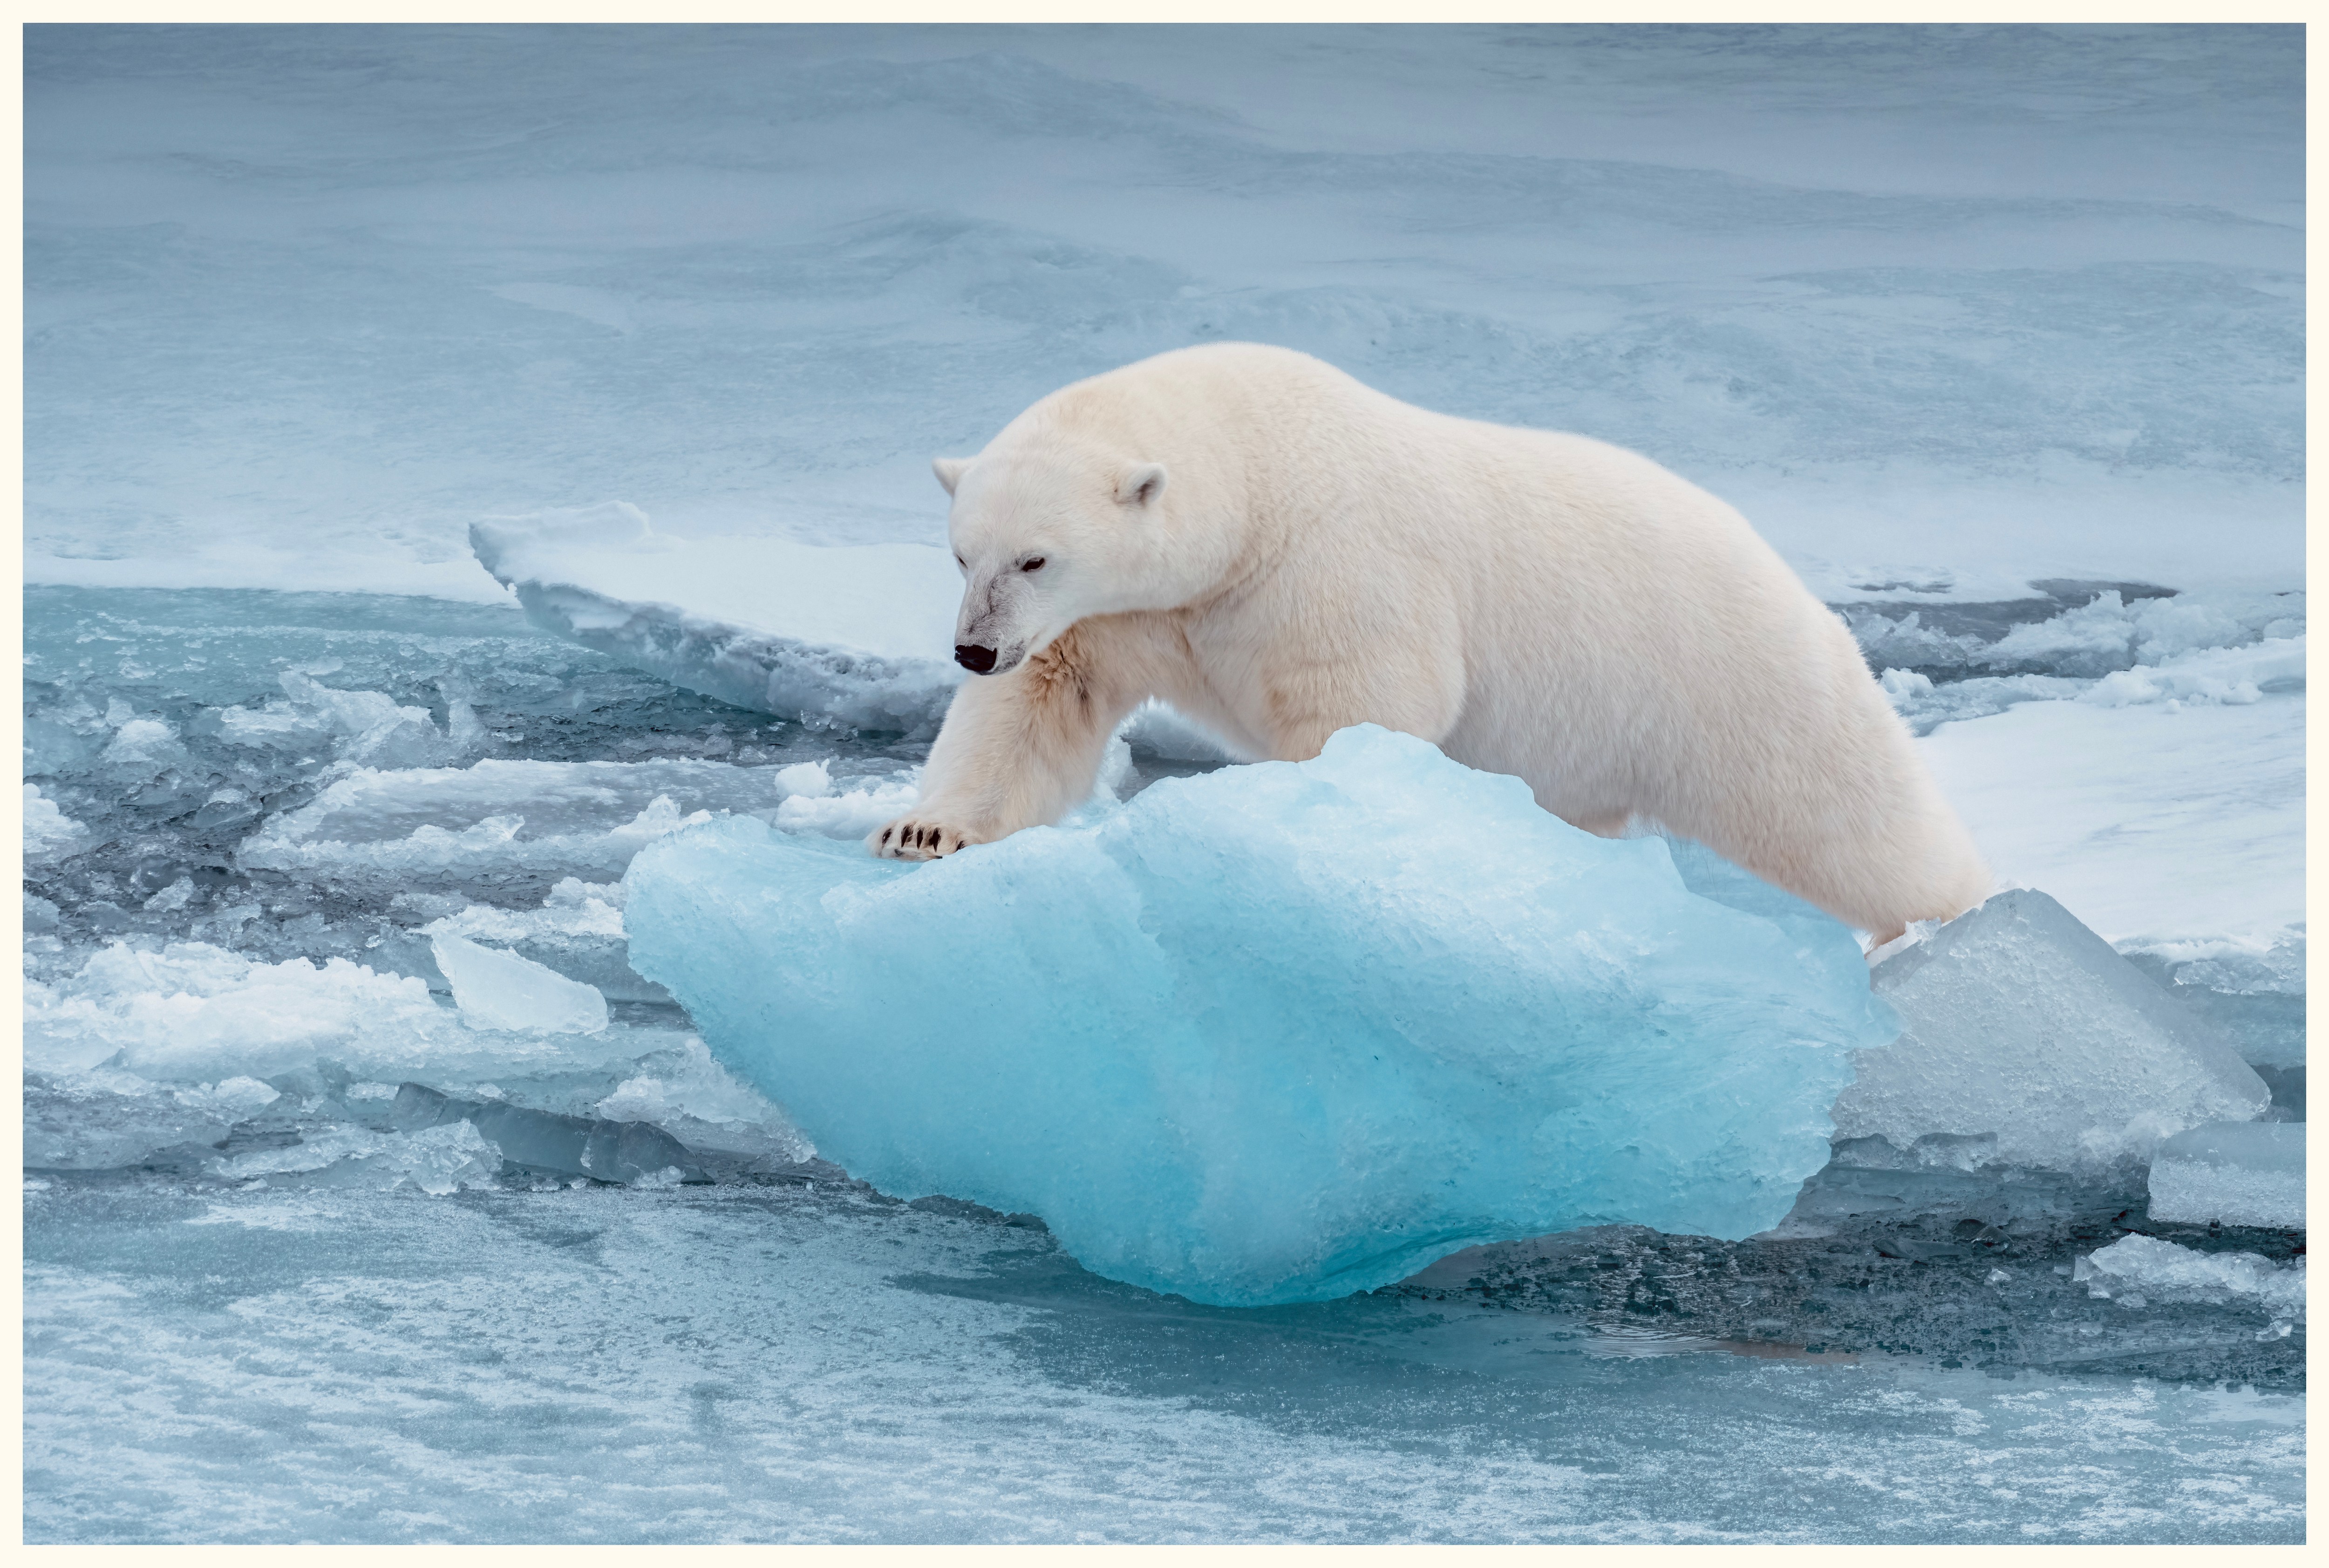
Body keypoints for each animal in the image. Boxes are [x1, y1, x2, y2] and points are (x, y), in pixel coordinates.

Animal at [871, 342, 1984, 936]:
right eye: (963, 554)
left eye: (1036, 558)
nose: (973, 648)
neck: (1255, 477)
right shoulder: (1135, 614)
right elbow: (1039, 705)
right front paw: (920, 830)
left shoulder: (1333, 564)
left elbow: (1365, 704)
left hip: (1730, 675)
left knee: (1842, 816)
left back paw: (1954, 918)